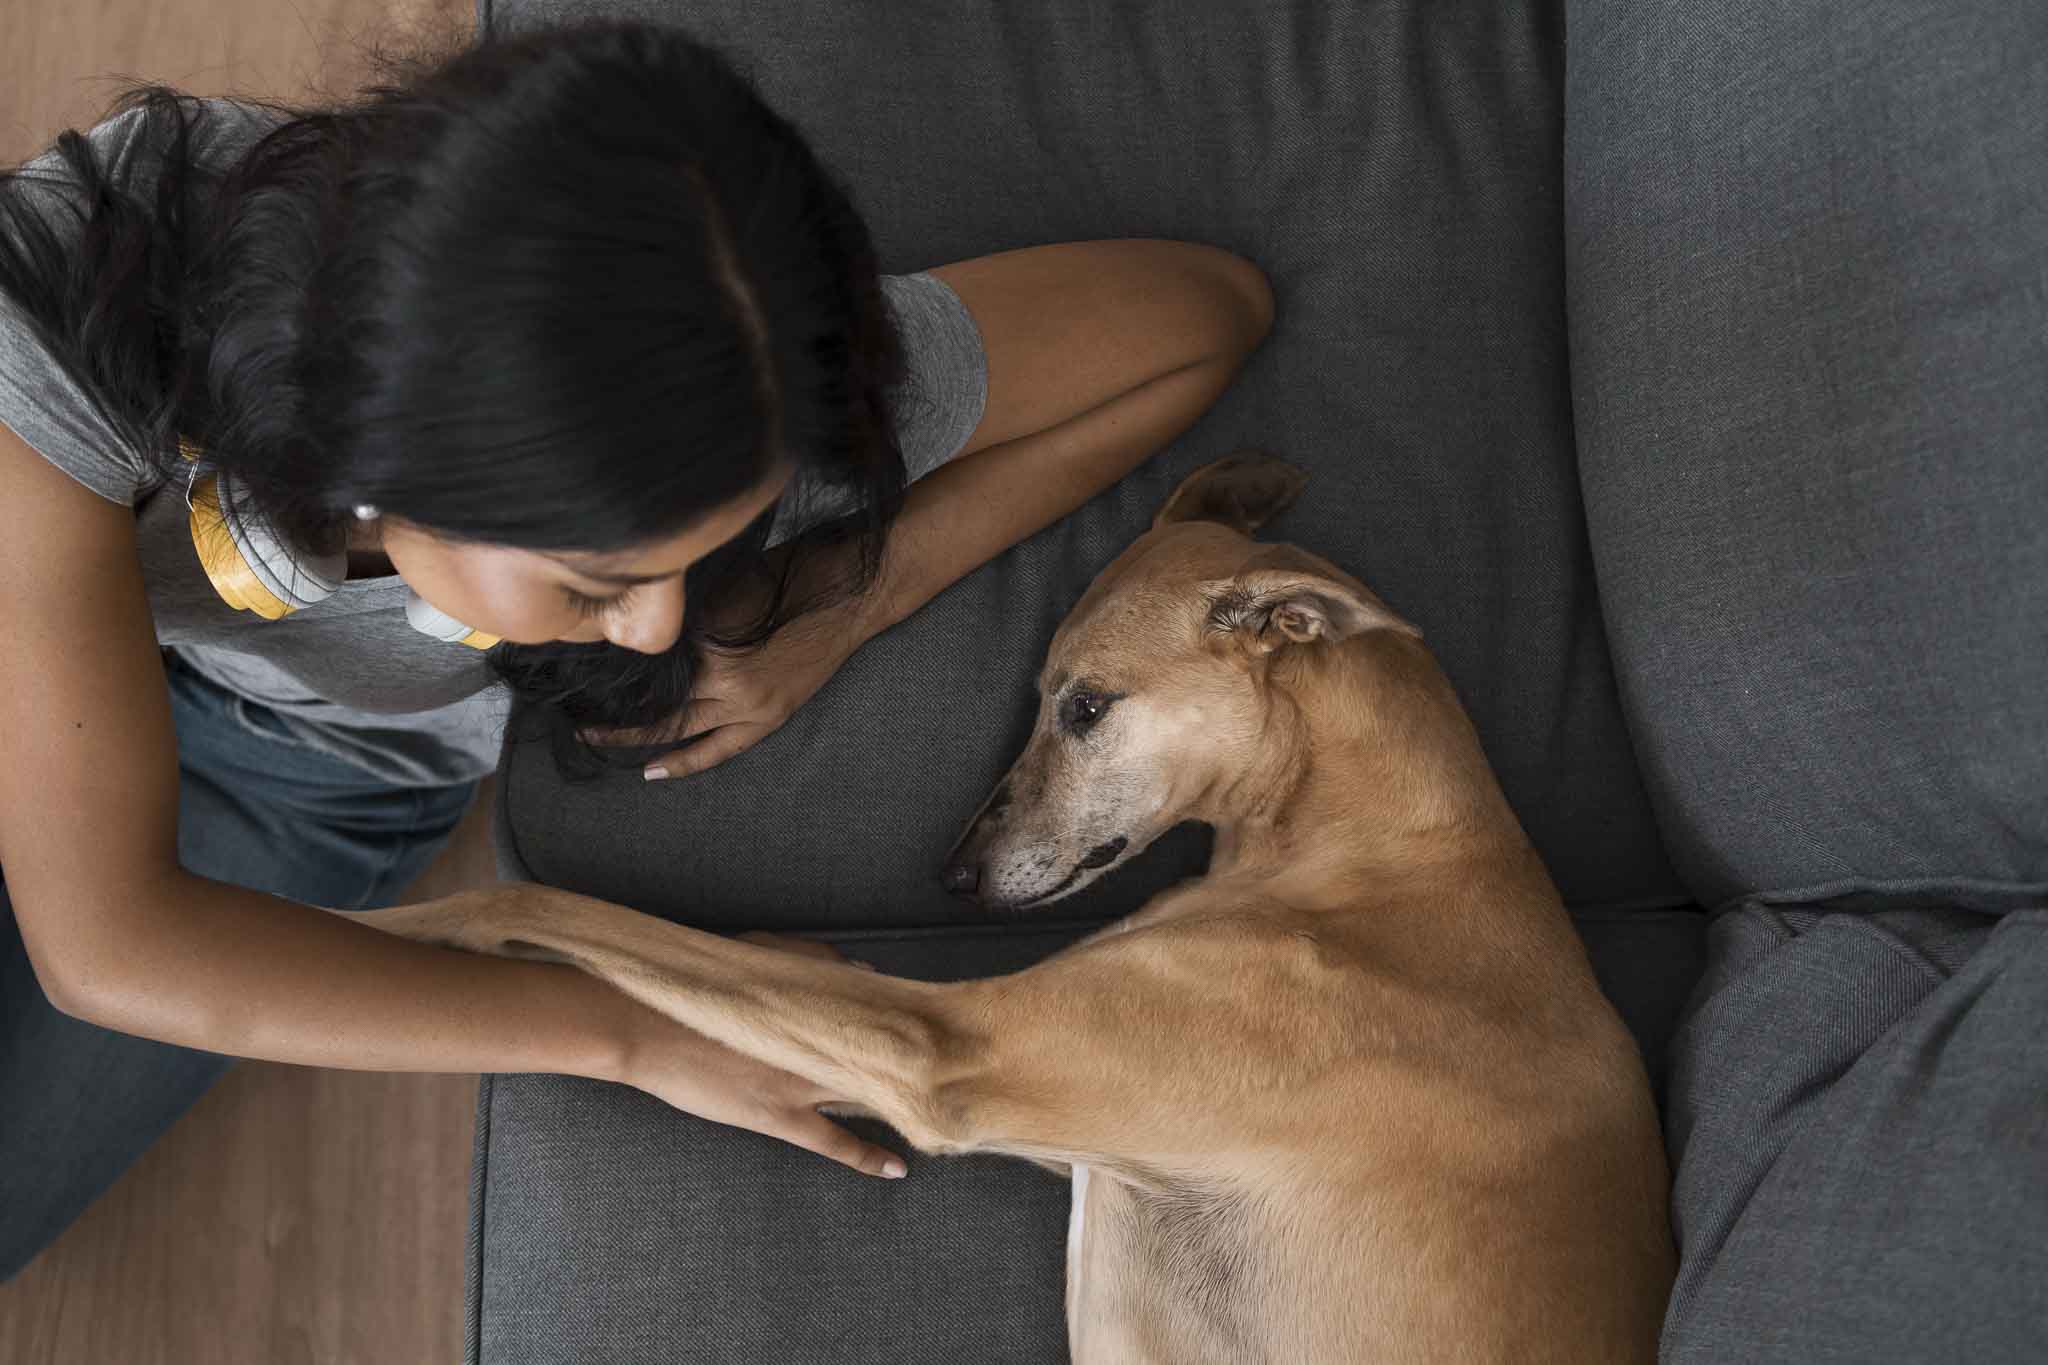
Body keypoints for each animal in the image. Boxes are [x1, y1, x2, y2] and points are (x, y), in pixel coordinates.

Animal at [360, 454, 1671, 1358]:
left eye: (1084, 707)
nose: (950, 881)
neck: (1375, 847)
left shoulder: (953, 1048)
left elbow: (565, 905)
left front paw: (381, 935)